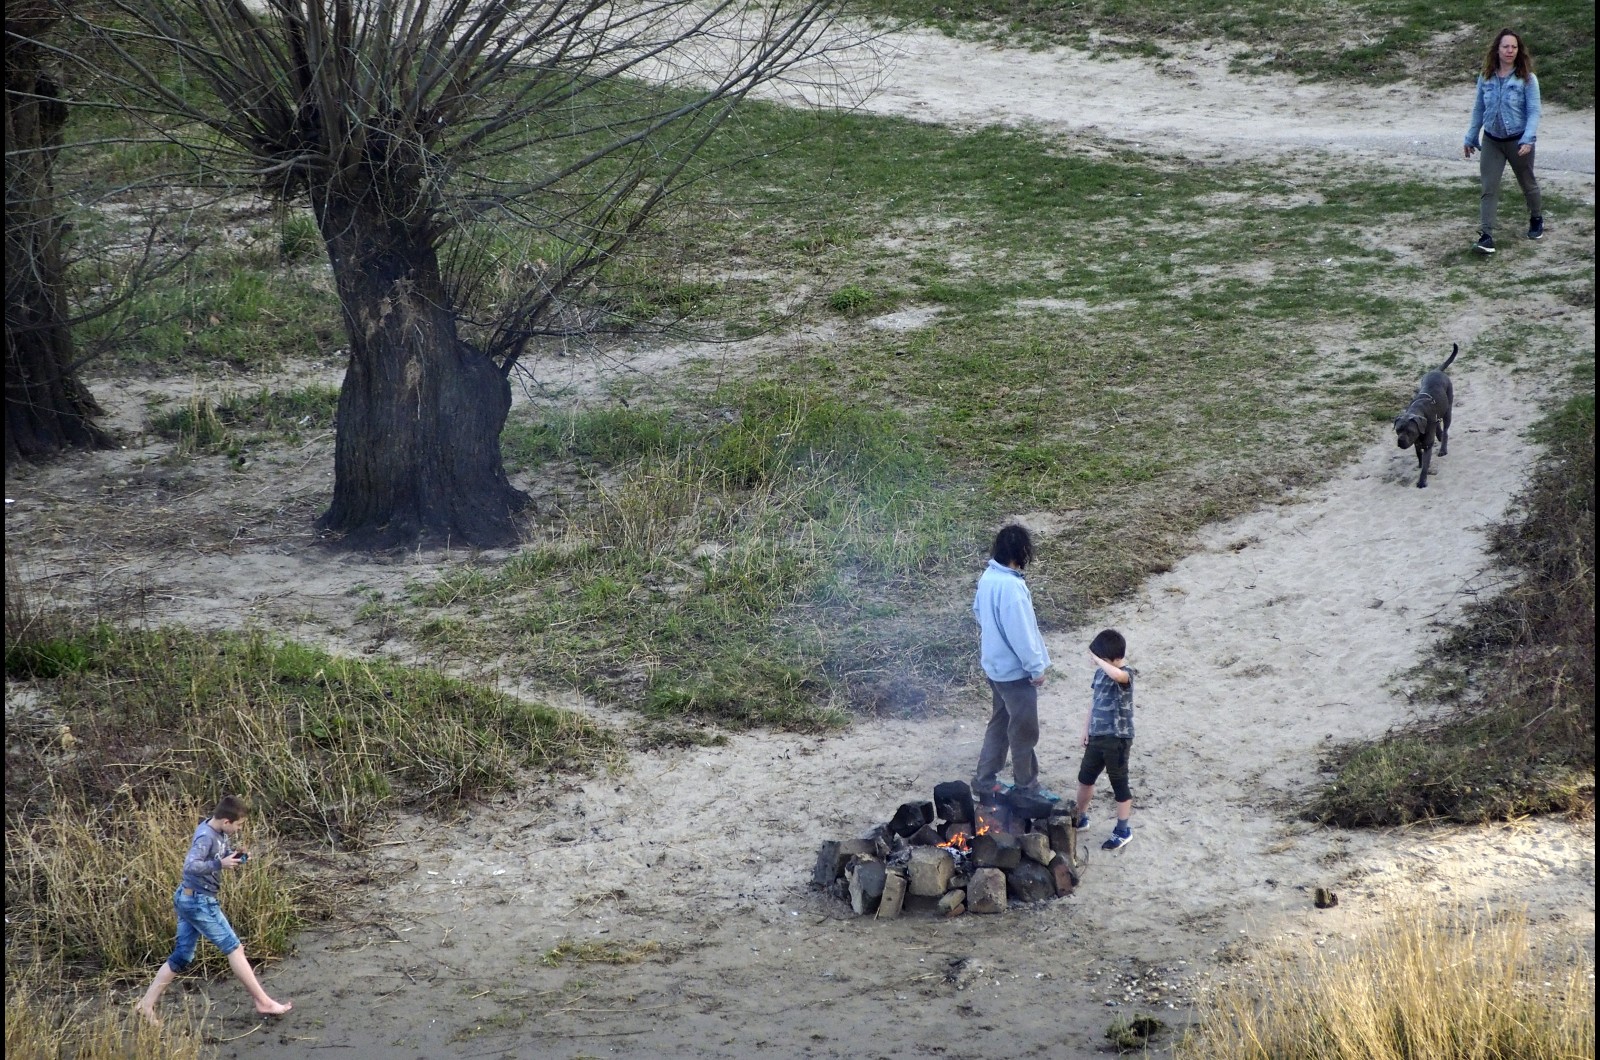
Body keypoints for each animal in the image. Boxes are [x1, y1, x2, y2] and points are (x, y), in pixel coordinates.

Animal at [1395, 347, 1459, 493]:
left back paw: (1443, 448)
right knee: (1438, 426)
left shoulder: (1426, 445)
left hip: (1448, 411)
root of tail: (1437, 370)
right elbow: (1419, 457)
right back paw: (1439, 435)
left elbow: (1425, 465)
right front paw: (1419, 464)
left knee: (1445, 431)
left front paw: (1422, 481)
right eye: (1397, 430)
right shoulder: (1417, 443)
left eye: (1410, 431)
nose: (1400, 441)